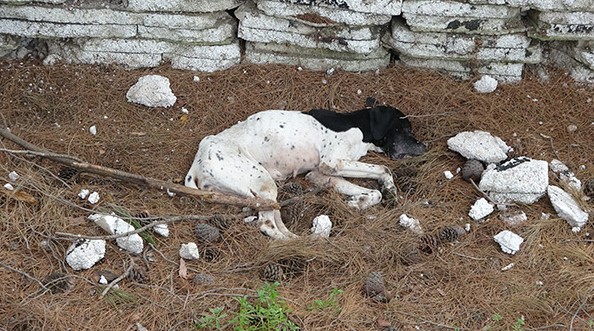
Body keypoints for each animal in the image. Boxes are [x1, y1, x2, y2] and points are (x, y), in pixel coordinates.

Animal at [185, 103, 426, 239]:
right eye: (406, 129)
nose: (424, 146)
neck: (359, 127)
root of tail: (198, 159)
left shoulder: (321, 174)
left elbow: (374, 191)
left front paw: (360, 201)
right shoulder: (333, 162)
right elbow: (384, 168)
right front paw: (389, 188)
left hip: (262, 193)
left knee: (274, 218)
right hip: (263, 182)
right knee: (266, 225)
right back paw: (297, 243)